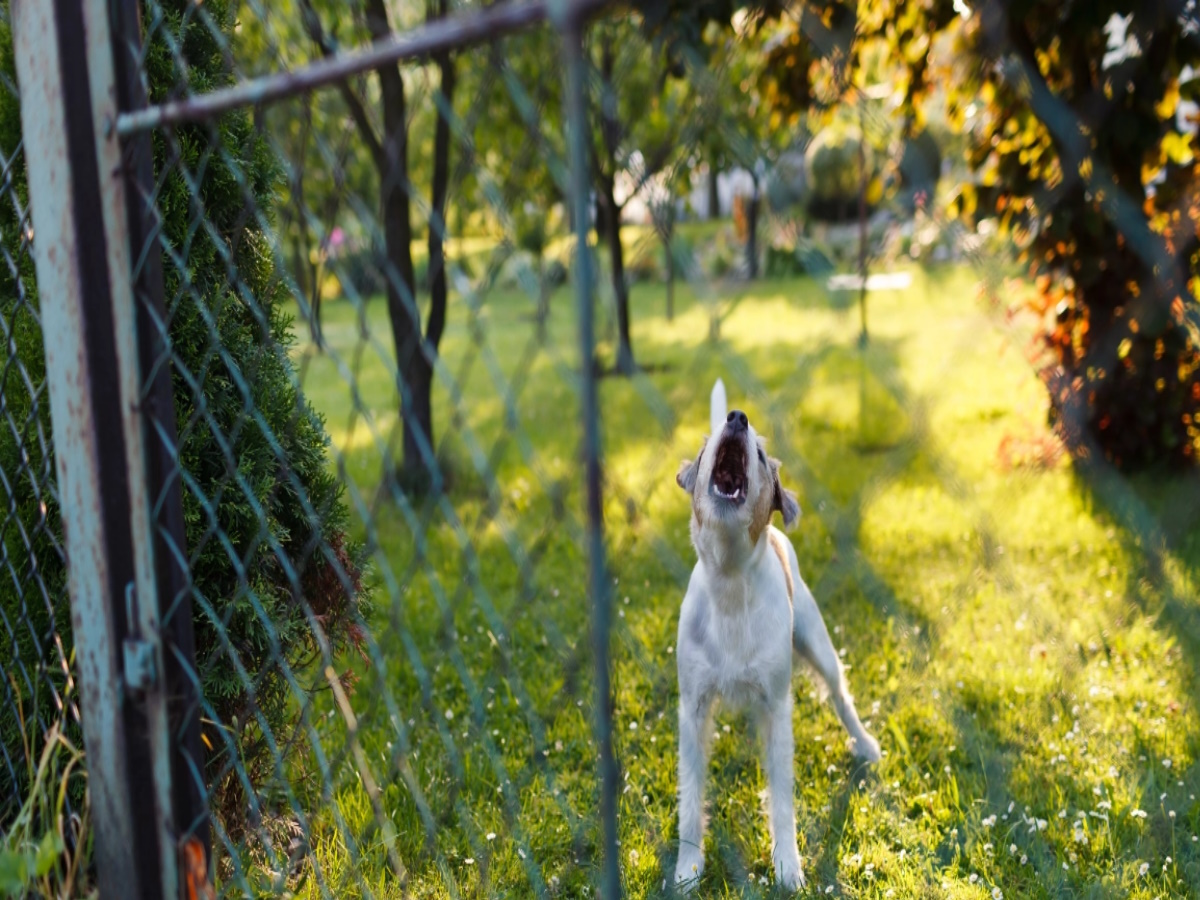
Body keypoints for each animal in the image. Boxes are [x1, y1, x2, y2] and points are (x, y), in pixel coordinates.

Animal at [672, 381, 878, 897]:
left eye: (762, 456)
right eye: (705, 448)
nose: (736, 418)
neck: (730, 582)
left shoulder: (777, 706)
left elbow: (782, 796)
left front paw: (788, 865)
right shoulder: (693, 709)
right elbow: (690, 799)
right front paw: (687, 868)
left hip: (819, 645)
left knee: (841, 696)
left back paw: (866, 744)